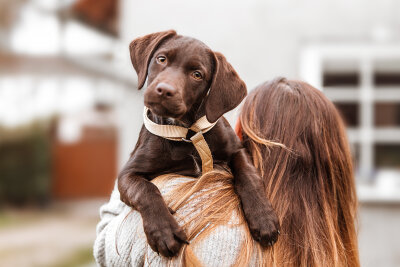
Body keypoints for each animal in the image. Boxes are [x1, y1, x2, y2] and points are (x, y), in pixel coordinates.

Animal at [119, 30, 280, 258]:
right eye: (161, 59)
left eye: (197, 75)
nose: (164, 90)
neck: (186, 132)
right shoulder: (128, 172)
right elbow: (146, 189)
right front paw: (163, 231)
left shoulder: (237, 149)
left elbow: (248, 175)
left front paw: (263, 216)